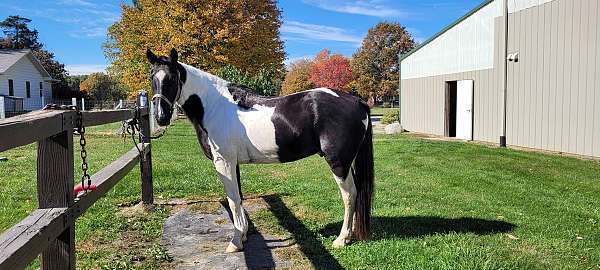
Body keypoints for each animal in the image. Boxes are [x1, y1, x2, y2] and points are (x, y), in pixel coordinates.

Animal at [148, 49, 372, 253]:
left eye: (172, 79)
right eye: (152, 78)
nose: (161, 117)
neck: (213, 106)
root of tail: (356, 101)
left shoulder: (224, 162)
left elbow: (232, 200)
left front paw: (235, 242)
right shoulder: (233, 163)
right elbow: (239, 198)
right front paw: (244, 235)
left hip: (338, 162)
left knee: (349, 195)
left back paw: (342, 239)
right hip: (347, 162)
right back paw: (352, 234)